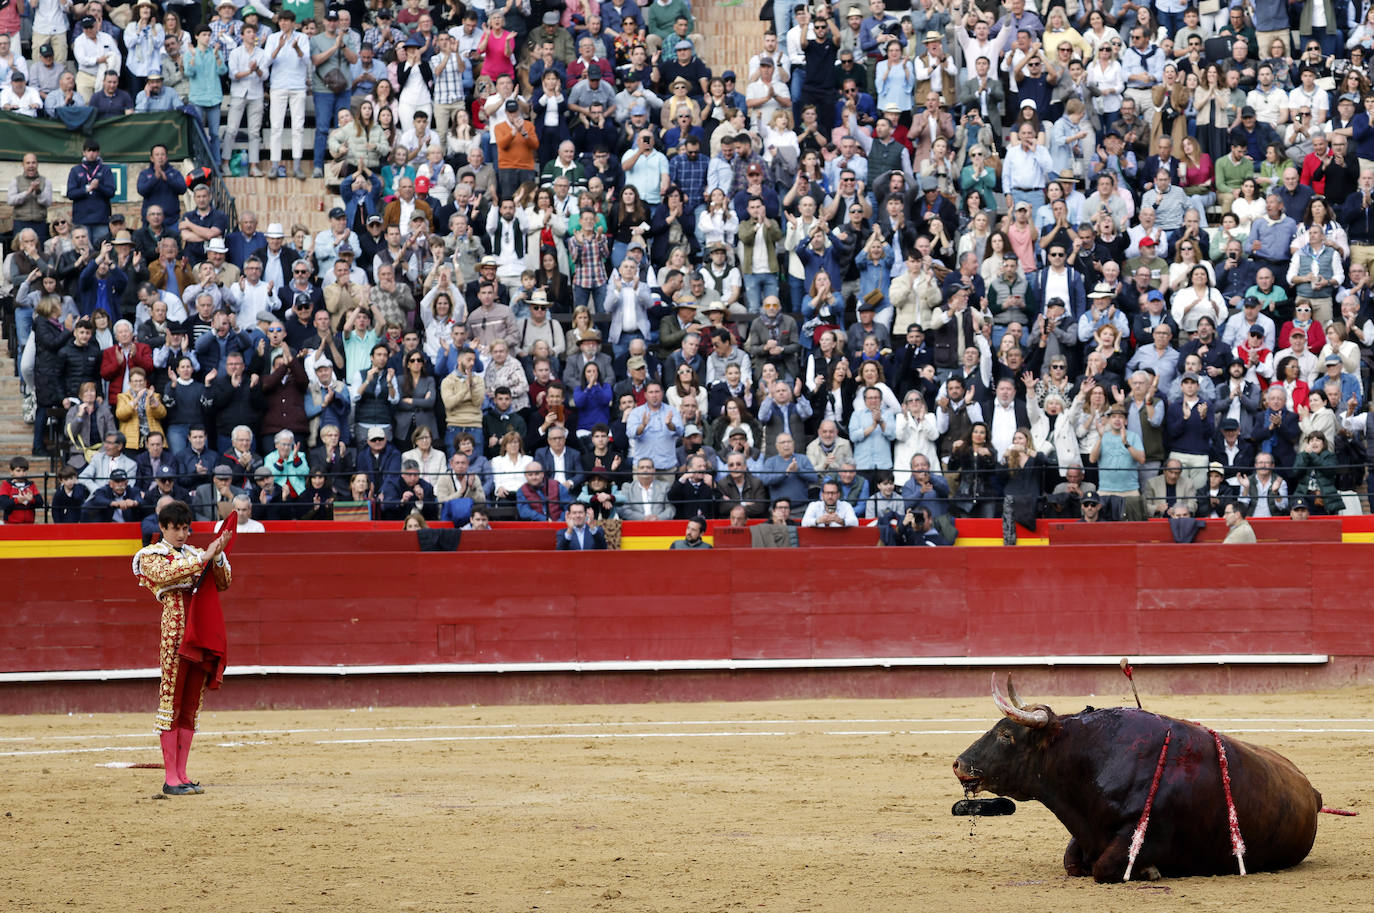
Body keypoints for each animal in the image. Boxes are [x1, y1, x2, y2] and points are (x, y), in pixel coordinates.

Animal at [956, 673, 1319, 880]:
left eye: (1006, 735)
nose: (958, 764)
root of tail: (1311, 792)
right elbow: (1071, 862)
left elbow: (1103, 869)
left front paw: (1152, 870)